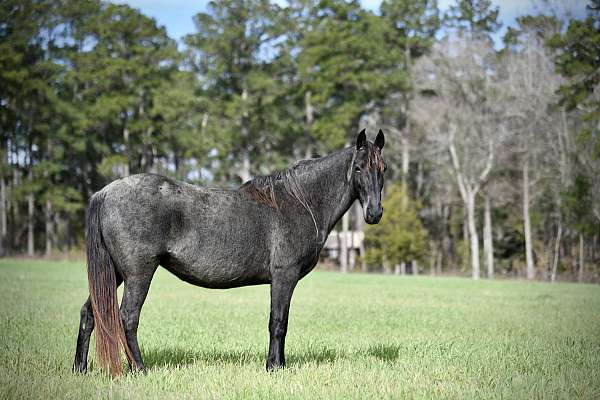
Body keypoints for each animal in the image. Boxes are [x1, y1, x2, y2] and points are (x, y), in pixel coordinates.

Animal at [72, 129, 386, 376]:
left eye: (382, 169)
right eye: (359, 168)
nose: (374, 213)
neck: (300, 202)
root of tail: (104, 193)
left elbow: (280, 322)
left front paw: (279, 365)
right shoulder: (284, 276)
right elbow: (278, 322)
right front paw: (274, 368)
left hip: (114, 273)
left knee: (90, 313)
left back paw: (80, 368)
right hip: (138, 273)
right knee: (127, 317)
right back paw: (139, 369)